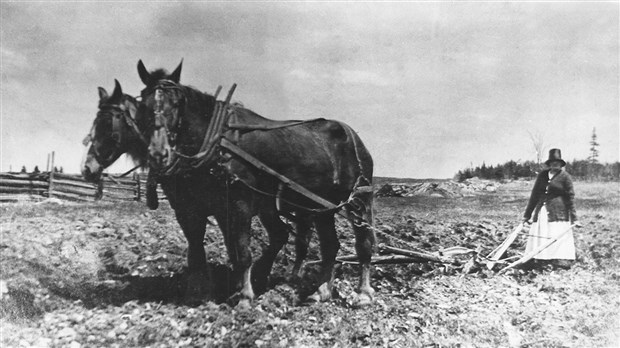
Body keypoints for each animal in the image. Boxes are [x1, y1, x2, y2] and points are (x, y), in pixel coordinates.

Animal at [137, 61, 376, 306]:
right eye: (143, 104)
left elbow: (242, 251)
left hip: (358, 199)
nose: (158, 153)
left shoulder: (239, 203)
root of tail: (351, 134)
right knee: (329, 246)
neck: (217, 143)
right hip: (319, 206)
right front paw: (198, 293)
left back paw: (363, 292)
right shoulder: (189, 209)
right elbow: (197, 251)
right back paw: (321, 291)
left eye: (177, 103)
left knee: (364, 243)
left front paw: (245, 296)